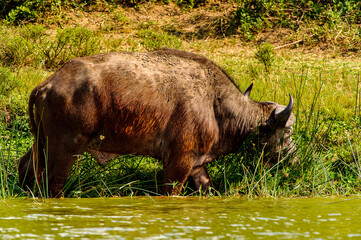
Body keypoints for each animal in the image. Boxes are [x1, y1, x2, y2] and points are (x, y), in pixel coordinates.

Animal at [17, 48, 296, 197]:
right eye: (287, 131)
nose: (294, 158)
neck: (214, 102)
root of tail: (48, 84)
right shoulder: (178, 163)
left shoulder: (196, 166)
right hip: (64, 151)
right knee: (53, 185)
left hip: (41, 144)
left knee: (25, 166)